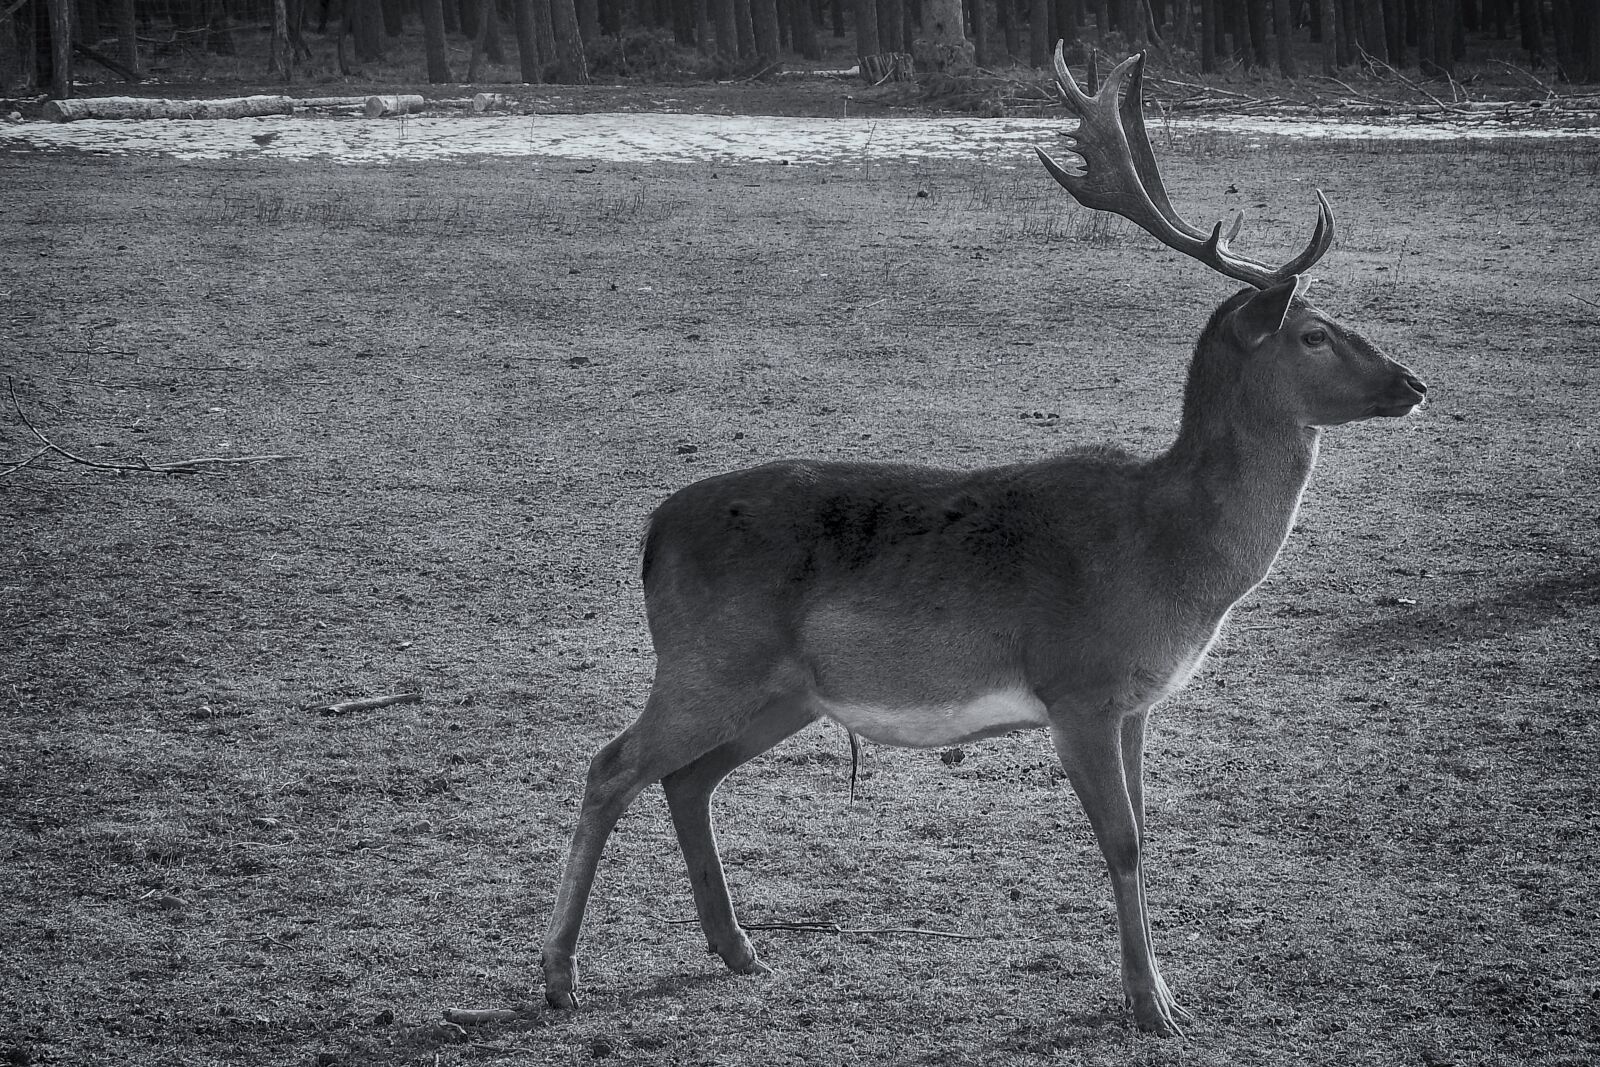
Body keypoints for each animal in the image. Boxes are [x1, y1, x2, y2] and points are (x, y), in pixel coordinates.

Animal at [539, 46, 1428, 1037]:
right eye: (1313, 333)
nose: (1413, 383)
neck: (1172, 557)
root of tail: (652, 531)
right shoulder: (1079, 685)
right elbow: (1122, 840)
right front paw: (1150, 1002)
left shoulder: (1137, 701)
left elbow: (1147, 832)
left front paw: (1160, 991)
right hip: (708, 661)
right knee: (611, 766)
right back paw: (560, 973)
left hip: (784, 690)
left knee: (687, 780)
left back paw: (738, 947)